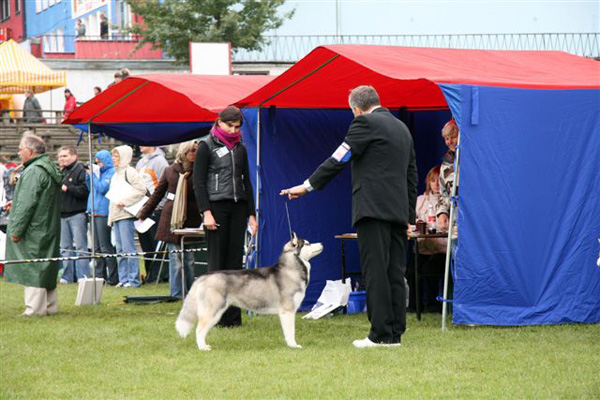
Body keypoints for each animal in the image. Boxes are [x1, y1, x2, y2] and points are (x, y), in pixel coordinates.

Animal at [175, 233, 323, 351]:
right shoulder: (288, 311)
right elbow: (291, 331)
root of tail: (204, 276)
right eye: (308, 243)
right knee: (199, 329)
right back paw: (202, 348)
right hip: (213, 311)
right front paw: (293, 345)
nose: (322, 243)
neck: (290, 270)